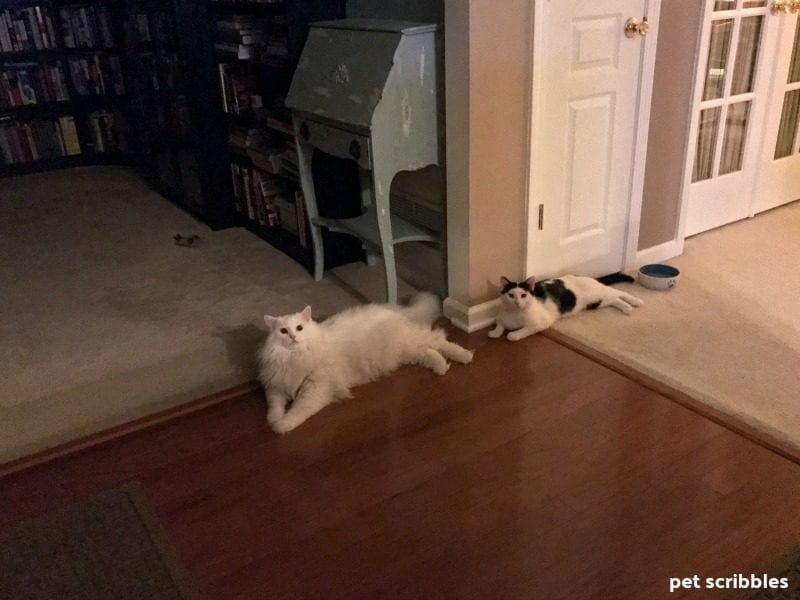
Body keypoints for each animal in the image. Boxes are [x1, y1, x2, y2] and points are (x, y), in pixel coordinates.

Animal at [260, 292, 472, 434]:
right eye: (283, 331)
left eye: (299, 328)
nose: (293, 337)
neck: (293, 358)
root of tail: (392, 308)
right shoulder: (275, 386)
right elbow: (274, 406)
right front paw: (274, 420)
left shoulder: (316, 389)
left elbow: (298, 410)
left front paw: (281, 426)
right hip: (406, 351)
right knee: (430, 352)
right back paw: (441, 367)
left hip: (412, 341)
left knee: (440, 340)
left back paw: (465, 356)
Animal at [488, 274, 644, 342]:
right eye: (511, 295)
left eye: (523, 295)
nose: (516, 302)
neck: (515, 313)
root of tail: (590, 278)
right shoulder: (501, 316)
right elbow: (499, 324)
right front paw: (495, 333)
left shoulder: (541, 323)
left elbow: (522, 330)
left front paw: (513, 335)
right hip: (598, 302)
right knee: (615, 300)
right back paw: (627, 308)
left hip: (598, 294)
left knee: (619, 292)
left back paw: (636, 301)